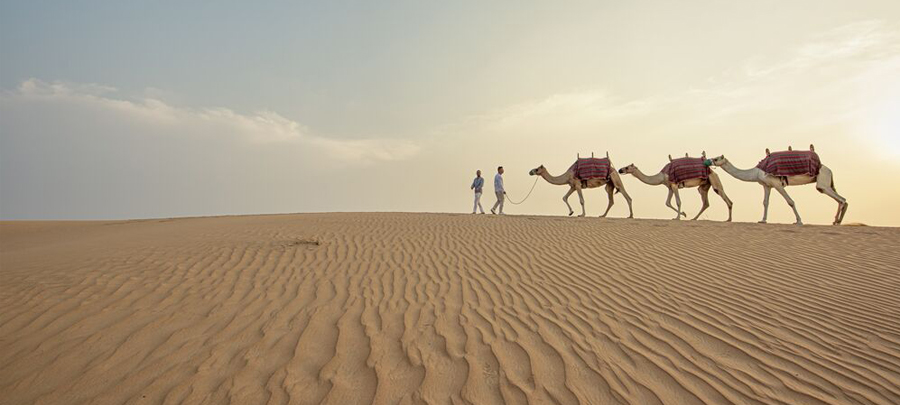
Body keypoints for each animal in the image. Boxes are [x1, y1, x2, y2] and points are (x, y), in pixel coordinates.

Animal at [712, 144, 852, 224]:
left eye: (716, 158)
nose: (709, 160)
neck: (756, 172)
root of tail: (828, 169)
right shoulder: (767, 185)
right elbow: (765, 202)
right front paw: (762, 220)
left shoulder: (777, 184)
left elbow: (790, 201)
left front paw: (798, 221)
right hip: (824, 183)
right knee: (839, 198)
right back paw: (835, 221)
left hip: (822, 181)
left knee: (841, 199)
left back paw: (838, 221)